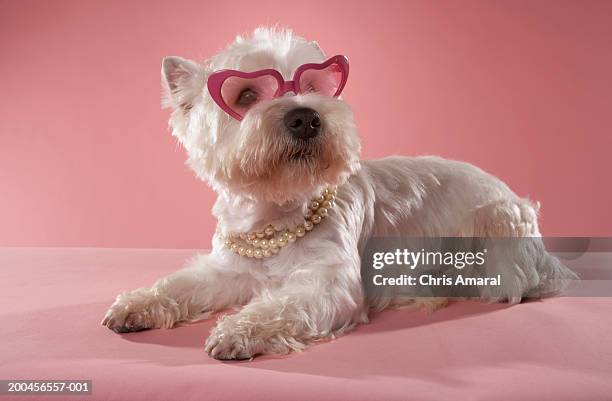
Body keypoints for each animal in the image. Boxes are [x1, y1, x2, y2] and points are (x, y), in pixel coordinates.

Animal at [103, 28, 576, 360]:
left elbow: (282, 305)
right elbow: (181, 283)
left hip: (497, 232)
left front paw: (238, 330)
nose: (305, 117)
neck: (277, 214)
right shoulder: (229, 270)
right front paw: (135, 304)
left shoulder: (329, 282)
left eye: (314, 86)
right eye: (247, 94)